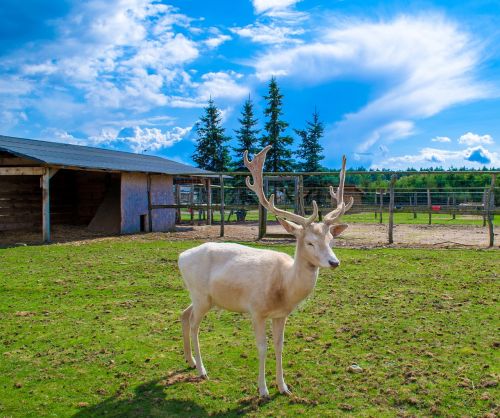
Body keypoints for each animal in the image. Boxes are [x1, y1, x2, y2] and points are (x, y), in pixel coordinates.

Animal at [178, 145, 354, 396]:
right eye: (309, 242)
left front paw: (284, 387)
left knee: (183, 314)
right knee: (194, 325)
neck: (284, 287)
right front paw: (263, 390)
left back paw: (190, 360)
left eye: (331, 239)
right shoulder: (256, 310)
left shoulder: (281, 315)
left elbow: (280, 346)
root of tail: (181, 257)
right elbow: (262, 347)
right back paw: (202, 370)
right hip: (201, 295)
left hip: (203, 297)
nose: (334, 262)